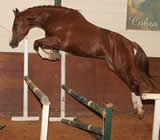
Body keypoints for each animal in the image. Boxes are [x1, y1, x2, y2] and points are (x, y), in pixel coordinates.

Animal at [10, 5, 155, 117]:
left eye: (16, 24)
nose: (12, 43)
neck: (56, 19)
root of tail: (129, 43)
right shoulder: (53, 42)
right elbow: (40, 44)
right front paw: (51, 55)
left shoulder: (57, 41)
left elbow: (36, 43)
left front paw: (50, 57)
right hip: (115, 67)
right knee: (132, 85)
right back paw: (137, 109)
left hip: (121, 66)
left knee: (134, 84)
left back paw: (140, 111)